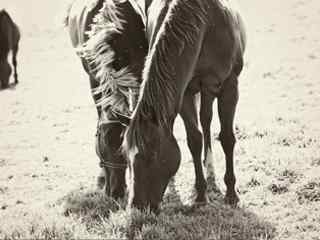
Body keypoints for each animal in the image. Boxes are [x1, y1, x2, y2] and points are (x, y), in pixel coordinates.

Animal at [121, 0, 246, 214]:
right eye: (126, 157)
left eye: (152, 155)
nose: (137, 207)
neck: (205, 24)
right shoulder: (185, 92)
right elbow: (194, 139)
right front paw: (201, 195)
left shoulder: (230, 86)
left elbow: (228, 138)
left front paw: (231, 194)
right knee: (204, 120)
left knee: (207, 120)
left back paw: (210, 167)